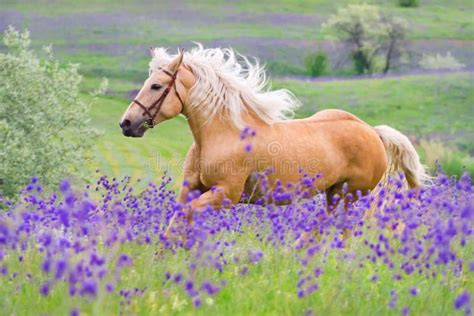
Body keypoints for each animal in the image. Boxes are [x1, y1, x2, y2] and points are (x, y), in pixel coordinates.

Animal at [119, 44, 430, 237]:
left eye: (156, 86)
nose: (126, 123)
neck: (223, 134)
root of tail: (372, 131)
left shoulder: (226, 195)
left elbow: (187, 218)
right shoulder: (192, 190)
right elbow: (176, 223)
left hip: (351, 195)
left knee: (342, 229)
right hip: (334, 193)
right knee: (325, 226)